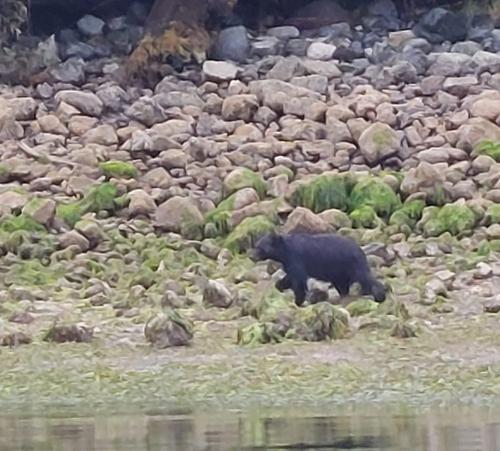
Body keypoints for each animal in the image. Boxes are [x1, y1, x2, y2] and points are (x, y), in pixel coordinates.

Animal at [250, 233, 386, 308]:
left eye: (259, 247)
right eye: (256, 245)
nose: (251, 256)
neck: (284, 251)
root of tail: (360, 249)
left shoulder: (296, 257)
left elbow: (298, 280)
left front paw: (298, 301)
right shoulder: (289, 262)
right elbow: (290, 276)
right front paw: (280, 285)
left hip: (351, 264)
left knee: (365, 277)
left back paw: (379, 295)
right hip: (340, 271)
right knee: (343, 286)